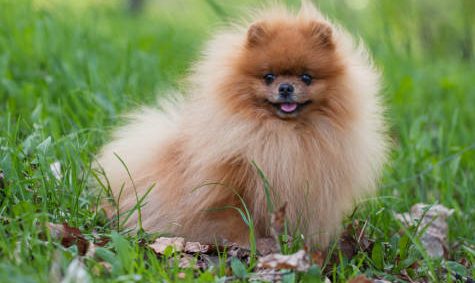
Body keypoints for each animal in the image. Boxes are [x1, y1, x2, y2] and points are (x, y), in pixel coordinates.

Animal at [96, 2, 386, 251]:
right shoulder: (231, 185)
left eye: (306, 77)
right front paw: (249, 244)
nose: (285, 87)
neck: (283, 134)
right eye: (268, 76)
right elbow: (234, 219)